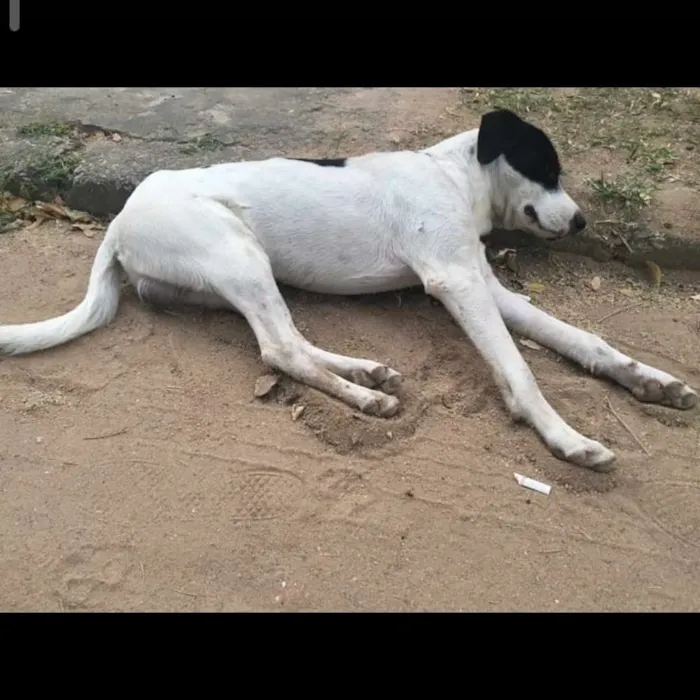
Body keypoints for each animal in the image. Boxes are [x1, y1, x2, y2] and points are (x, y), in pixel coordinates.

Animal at [0, 109, 696, 470]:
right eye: (543, 168)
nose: (580, 223)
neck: (455, 176)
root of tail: (119, 218)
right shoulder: (454, 281)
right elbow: (521, 369)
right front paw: (564, 437)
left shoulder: (485, 286)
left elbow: (583, 339)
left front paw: (651, 382)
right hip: (235, 253)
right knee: (279, 349)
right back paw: (366, 399)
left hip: (227, 277)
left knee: (287, 339)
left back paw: (366, 373)